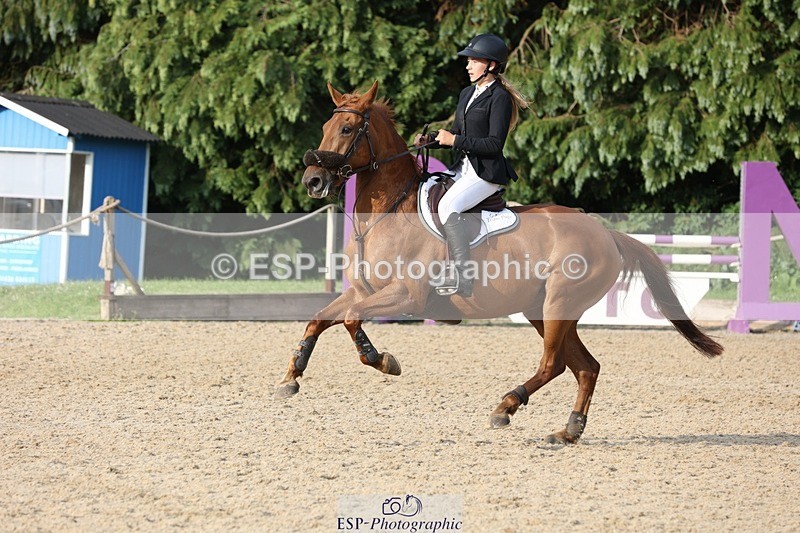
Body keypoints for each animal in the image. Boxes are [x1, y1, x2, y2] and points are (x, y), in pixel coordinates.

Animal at [275, 80, 723, 444]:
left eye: (348, 129)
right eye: (325, 128)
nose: (313, 181)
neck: (389, 210)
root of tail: (604, 232)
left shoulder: (406, 296)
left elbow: (351, 321)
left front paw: (383, 360)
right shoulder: (363, 290)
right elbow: (319, 318)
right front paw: (290, 378)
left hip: (557, 305)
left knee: (553, 363)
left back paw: (505, 407)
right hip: (543, 310)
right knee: (584, 367)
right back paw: (568, 431)